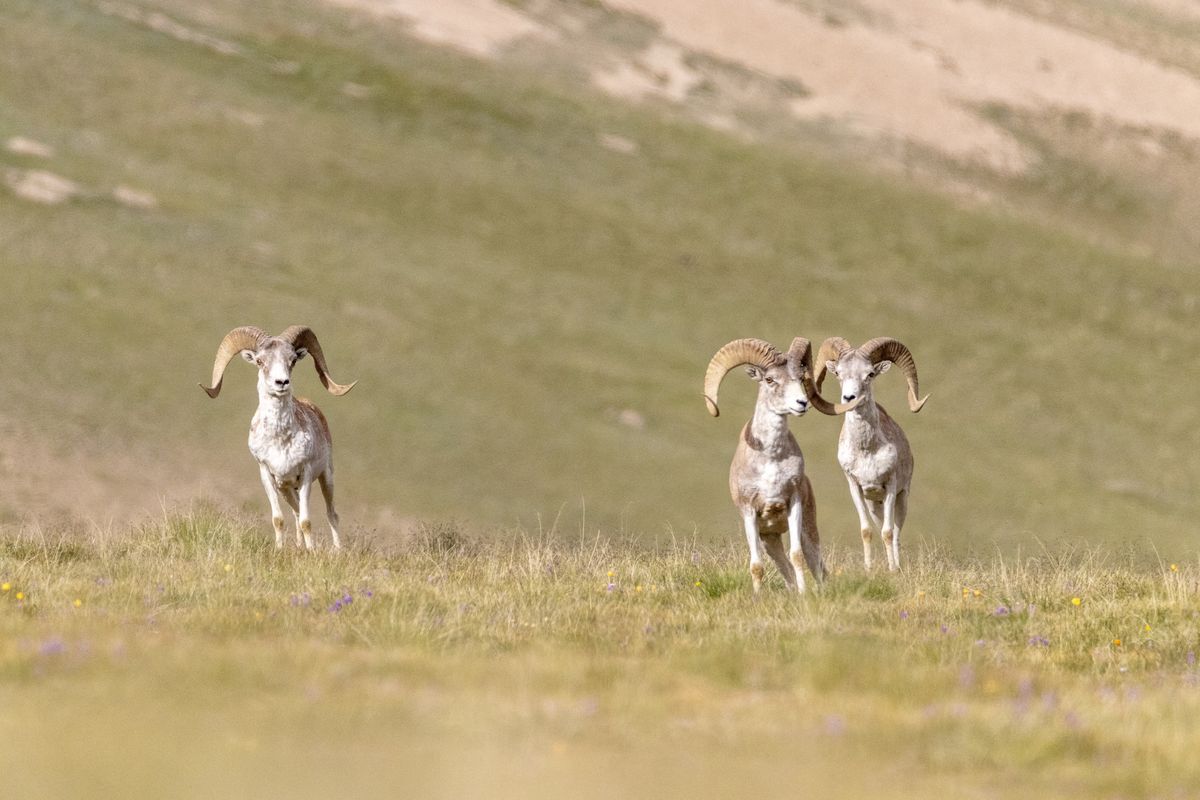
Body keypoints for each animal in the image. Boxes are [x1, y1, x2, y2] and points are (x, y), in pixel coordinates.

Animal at [200, 326, 356, 551]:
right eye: (260, 361)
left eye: (292, 360)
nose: (281, 382)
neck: (281, 441)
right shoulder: (268, 475)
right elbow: (279, 519)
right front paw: (281, 549)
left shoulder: (306, 474)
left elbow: (307, 521)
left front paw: (312, 551)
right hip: (287, 489)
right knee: (296, 512)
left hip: (326, 477)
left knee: (331, 514)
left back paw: (337, 550)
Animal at [703, 337, 861, 593]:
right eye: (770, 379)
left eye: (799, 377)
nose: (802, 403)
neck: (771, 459)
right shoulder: (750, 514)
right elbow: (757, 566)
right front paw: (758, 598)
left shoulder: (793, 504)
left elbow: (796, 556)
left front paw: (804, 595)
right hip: (770, 540)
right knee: (784, 568)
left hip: (807, 532)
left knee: (815, 566)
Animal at [813, 337, 928, 572]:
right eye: (838, 373)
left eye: (870, 374)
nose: (849, 397)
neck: (866, 451)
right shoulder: (856, 488)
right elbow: (866, 531)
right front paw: (868, 569)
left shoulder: (891, 487)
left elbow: (888, 533)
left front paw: (893, 570)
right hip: (875, 505)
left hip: (902, 499)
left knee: (896, 532)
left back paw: (897, 565)